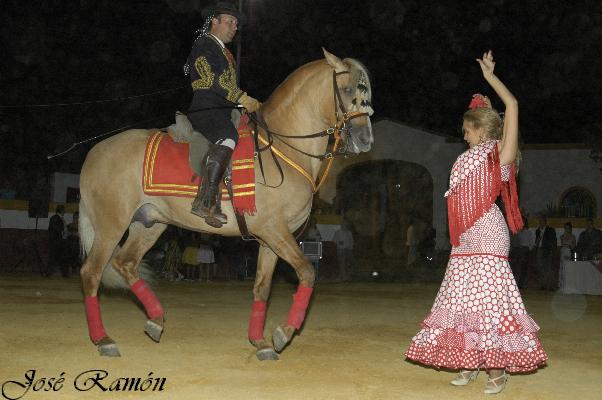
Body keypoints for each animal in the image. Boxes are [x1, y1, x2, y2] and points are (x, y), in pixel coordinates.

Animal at [78, 48, 372, 360]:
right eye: (347, 89)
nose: (365, 139)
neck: (283, 148)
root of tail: (95, 153)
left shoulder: (271, 239)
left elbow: (262, 288)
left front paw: (260, 342)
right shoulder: (274, 230)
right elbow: (306, 272)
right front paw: (284, 332)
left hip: (149, 223)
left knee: (125, 263)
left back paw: (155, 319)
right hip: (111, 225)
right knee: (92, 272)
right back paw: (104, 339)